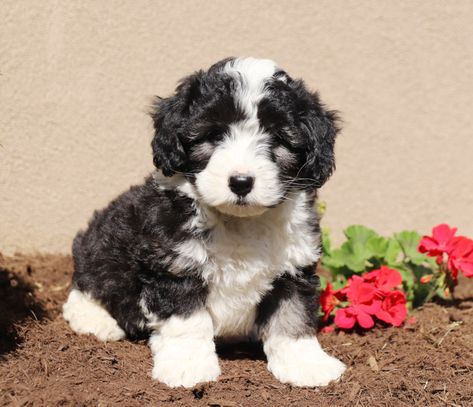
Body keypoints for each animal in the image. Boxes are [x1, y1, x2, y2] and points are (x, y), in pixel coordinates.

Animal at [62, 57, 344, 388]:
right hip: (102, 245)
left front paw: (306, 364)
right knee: (88, 284)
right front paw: (188, 366)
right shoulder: (174, 267)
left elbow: (293, 316)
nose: (241, 182)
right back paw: (97, 321)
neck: (239, 223)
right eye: (214, 135)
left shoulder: (294, 268)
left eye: (277, 138)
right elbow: (187, 322)